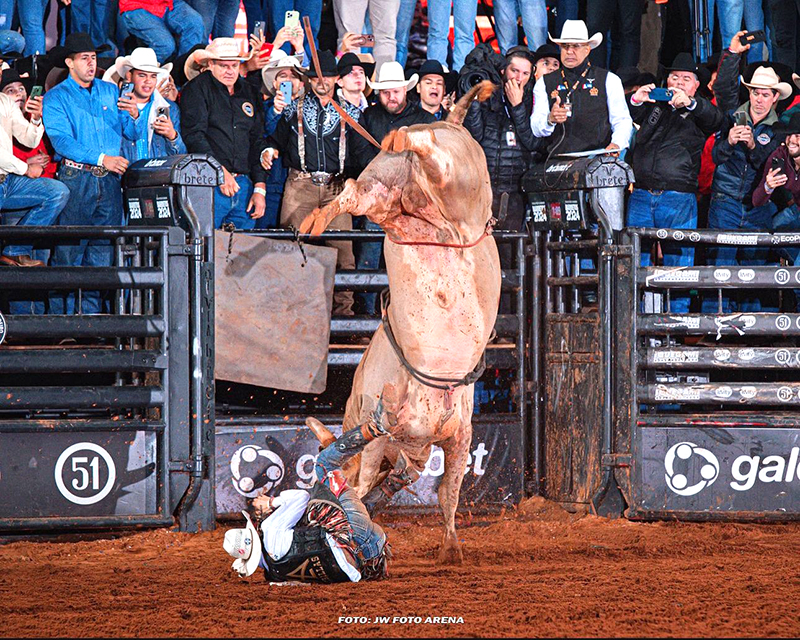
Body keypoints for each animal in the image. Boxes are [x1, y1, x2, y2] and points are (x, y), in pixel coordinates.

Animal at [300, 81, 500, 564]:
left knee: (382, 175)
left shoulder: (457, 436)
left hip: (420, 183)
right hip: (421, 186)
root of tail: (451, 123)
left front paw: (450, 548)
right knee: (395, 170)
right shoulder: (405, 438)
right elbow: (421, 484)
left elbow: (445, 491)